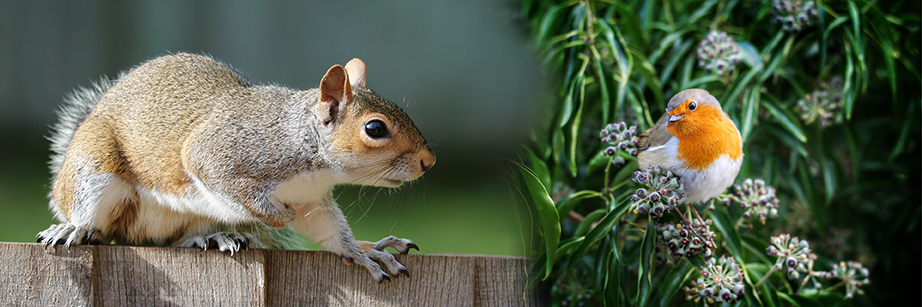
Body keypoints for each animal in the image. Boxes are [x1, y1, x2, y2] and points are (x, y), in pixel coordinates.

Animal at [36, 51, 434, 282]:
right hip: (94, 170)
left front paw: (364, 252)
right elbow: (228, 183)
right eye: (375, 128)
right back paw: (73, 229)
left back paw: (212, 237)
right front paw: (277, 216)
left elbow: (329, 232)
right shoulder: (220, 153)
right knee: (97, 222)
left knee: (168, 242)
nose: (428, 161)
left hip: (187, 220)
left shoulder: (311, 200)